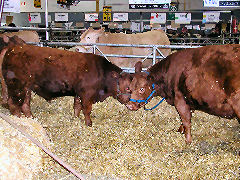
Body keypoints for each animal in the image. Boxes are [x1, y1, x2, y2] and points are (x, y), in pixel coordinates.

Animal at [1, 43, 132, 126]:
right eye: (127, 88)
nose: (131, 103)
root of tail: (12, 48)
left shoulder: (79, 93)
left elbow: (77, 106)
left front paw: (76, 118)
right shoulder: (87, 94)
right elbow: (87, 110)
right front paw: (89, 124)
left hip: (26, 88)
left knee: (25, 105)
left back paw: (32, 119)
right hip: (17, 87)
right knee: (13, 104)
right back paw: (19, 120)